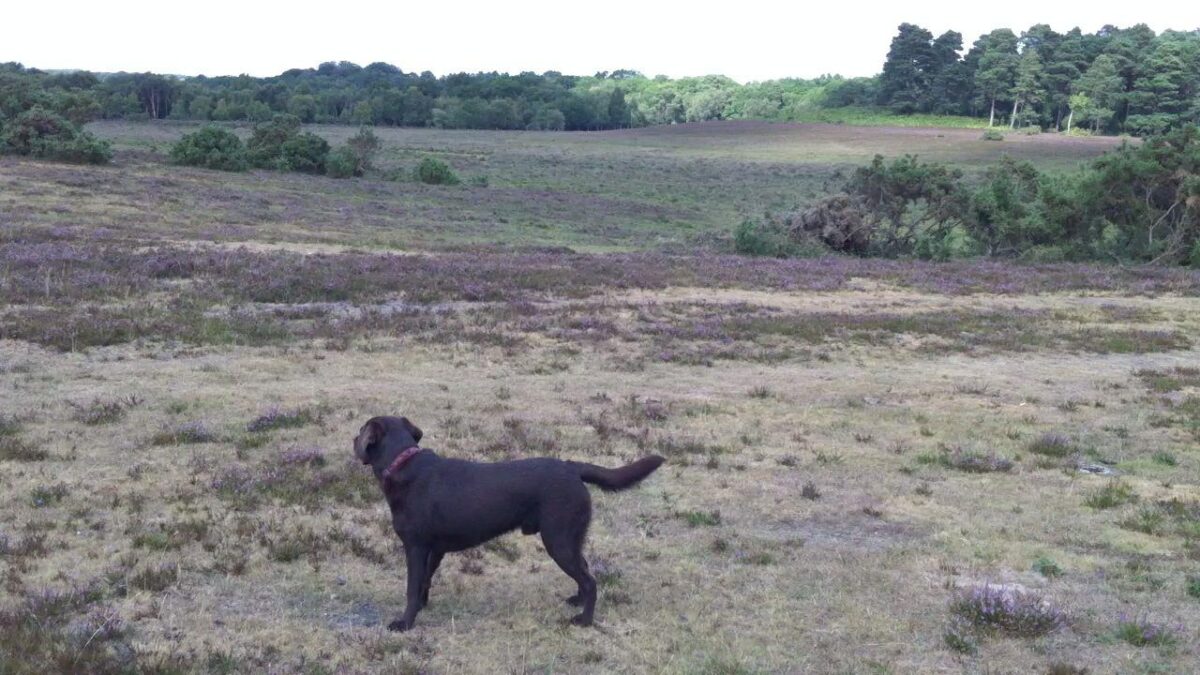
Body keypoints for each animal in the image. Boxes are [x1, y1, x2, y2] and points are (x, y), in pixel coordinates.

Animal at [355, 413, 667, 629]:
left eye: (360, 430)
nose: (354, 440)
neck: (403, 463)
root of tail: (572, 468)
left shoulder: (416, 547)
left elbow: (411, 587)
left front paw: (405, 623)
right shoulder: (435, 549)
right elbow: (424, 583)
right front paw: (422, 607)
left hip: (558, 540)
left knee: (590, 581)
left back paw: (584, 620)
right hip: (570, 539)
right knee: (586, 570)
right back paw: (576, 601)